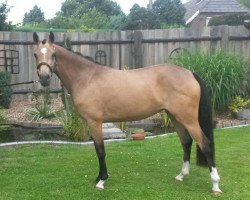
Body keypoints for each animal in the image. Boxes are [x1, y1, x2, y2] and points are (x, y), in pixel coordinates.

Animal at [32, 32, 222, 195]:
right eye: (35, 54)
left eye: (53, 54)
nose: (44, 78)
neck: (87, 77)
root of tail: (190, 73)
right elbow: (97, 150)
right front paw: (98, 178)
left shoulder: (95, 122)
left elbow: (100, 150)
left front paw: (101, 181)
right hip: (175, 117)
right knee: (186, 142)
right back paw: (182, 175)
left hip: (188, 119)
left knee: (205, 144)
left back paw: (215, 185)